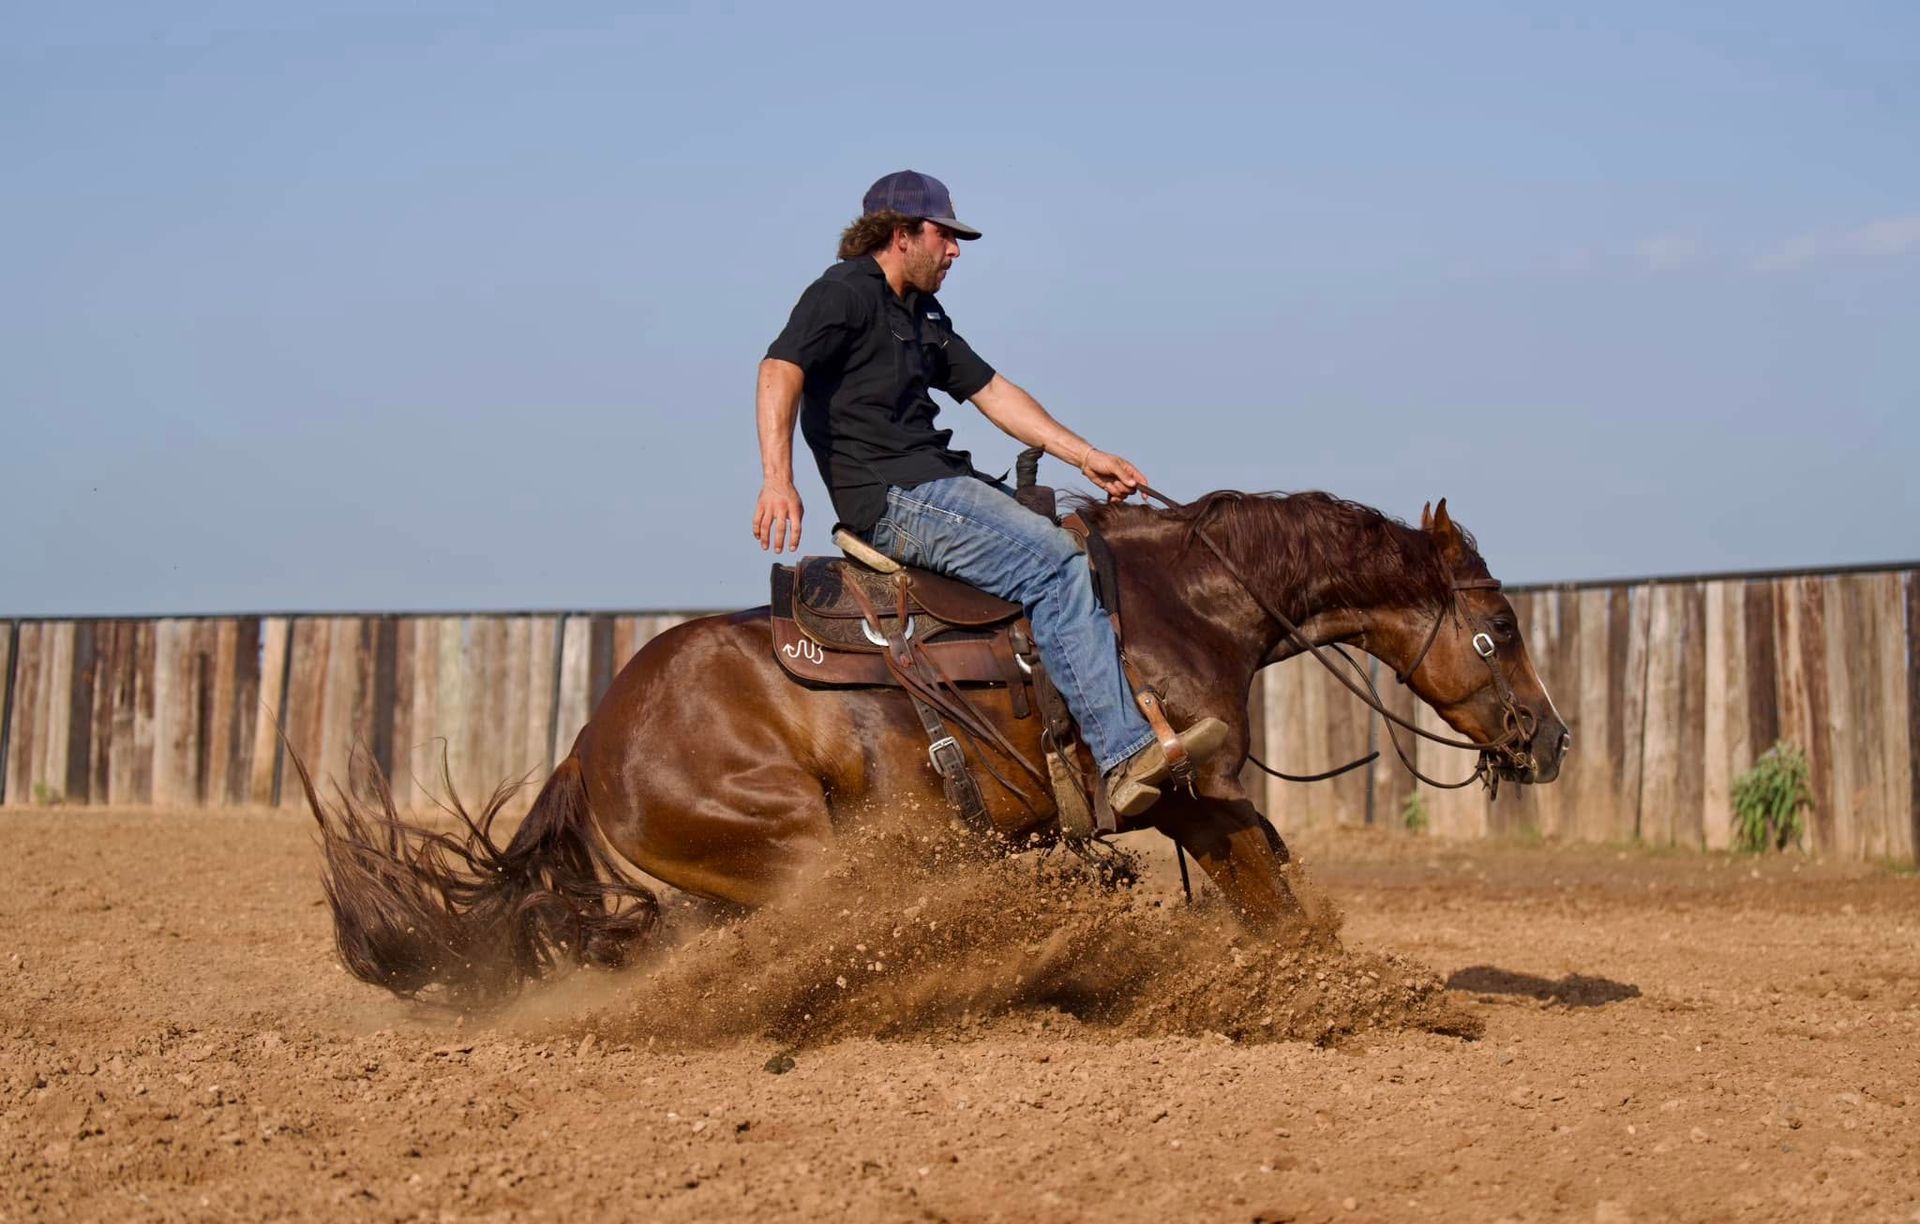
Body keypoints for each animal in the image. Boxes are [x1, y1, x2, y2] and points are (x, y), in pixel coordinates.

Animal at [307, 492, 1569, 1002]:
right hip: (801, 852)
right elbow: (1271, 895)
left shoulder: (1208, 797)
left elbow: (1276, 881)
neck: (1185, 601)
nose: (1549, 739)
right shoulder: (1187, 789)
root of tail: (588, 740)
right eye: (1499, 629)